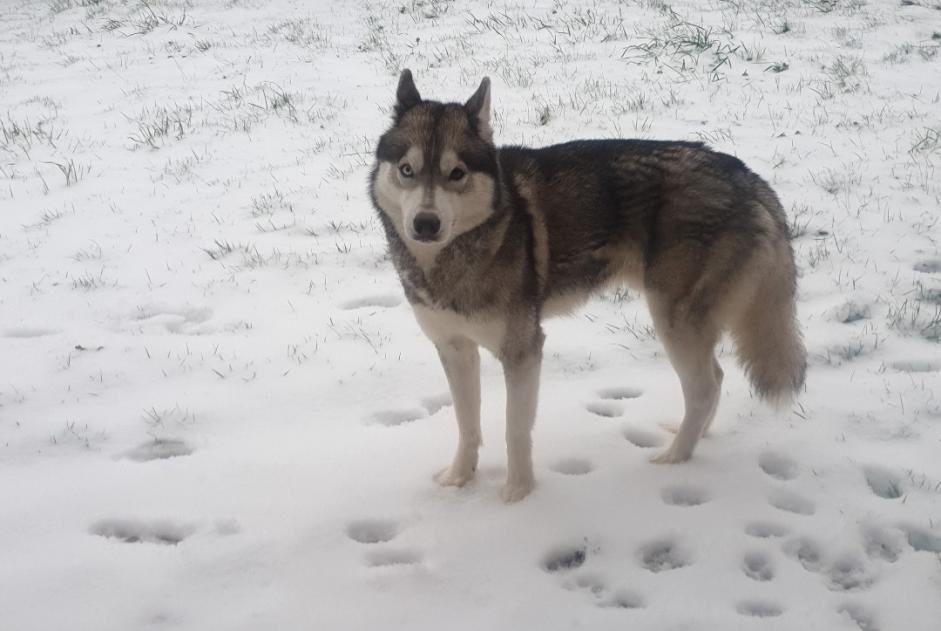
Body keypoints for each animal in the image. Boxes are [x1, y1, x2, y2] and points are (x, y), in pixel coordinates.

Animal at [370, 69, 804, 504]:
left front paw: (517, 494)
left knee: (704, 388)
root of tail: (747, 176)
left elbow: (515, 431)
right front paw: (459, 479)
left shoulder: (523, 351)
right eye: (407, 170)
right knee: (715, 378)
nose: (426, 224)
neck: (452, 257)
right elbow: (466, 423)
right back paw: (694, 438)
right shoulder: (454, 348)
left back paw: (674, 458)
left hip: (671, 320)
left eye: (456, 173)